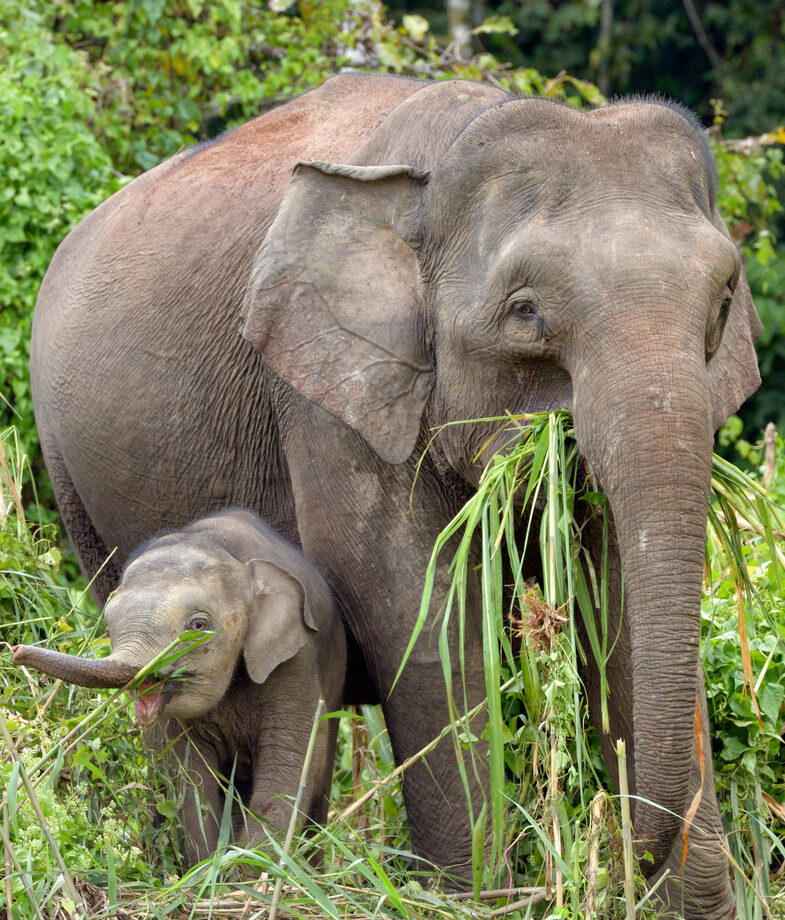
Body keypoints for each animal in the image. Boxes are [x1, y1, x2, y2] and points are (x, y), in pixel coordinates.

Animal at [13, 509, 346, 864]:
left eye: (198, 626)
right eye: (108, 625)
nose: (15, 651)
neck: (223, 548)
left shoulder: (295, 663)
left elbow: (285, 771)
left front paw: (244, 870)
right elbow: (189, 781)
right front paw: (207, 869)